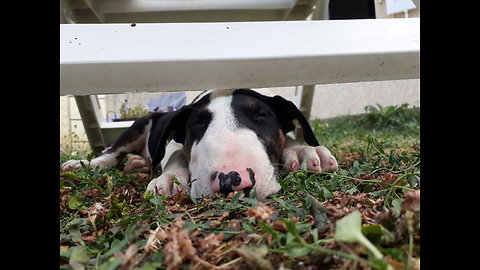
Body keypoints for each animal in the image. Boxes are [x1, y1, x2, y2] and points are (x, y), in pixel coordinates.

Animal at [61, 88, 338, 198]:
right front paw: (170, 179)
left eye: (261, 116)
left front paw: (304, 151)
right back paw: (83, 164)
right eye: (198, 123)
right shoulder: (174, 143)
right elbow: (176, 155)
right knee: (111, 152)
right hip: (137, 126)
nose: (231, 179)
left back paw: (137, 163)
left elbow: (288, 137)